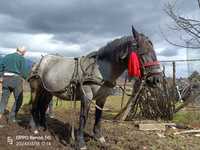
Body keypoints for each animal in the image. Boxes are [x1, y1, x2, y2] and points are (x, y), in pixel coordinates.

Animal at [28, 27, 162, 150]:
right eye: (142, 52)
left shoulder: (102, 98)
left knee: (42, 107)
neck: (101, 71)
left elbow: (98, 116)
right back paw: (34, 128)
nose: (156, 80)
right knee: (34, 106)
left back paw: (43, 127)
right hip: (36, 89)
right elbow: (83, 118)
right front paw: (81, 143)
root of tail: (39, 62)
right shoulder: (86, 97)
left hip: (48, 91)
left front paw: (98, 137)